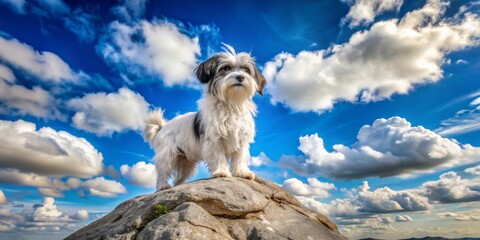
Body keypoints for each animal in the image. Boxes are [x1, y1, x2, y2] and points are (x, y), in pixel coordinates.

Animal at [144, 44, 268, 191]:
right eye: (226, 68)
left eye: (246, 70)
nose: (240, 77)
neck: (231, 103)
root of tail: (161, 128)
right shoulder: (214, 140)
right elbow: (218, 157)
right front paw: (221, 172)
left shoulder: (242, 139)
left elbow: (240, 158)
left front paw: (242, 172)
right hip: (167, 155)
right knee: (163, 171)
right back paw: (163, 186)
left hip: (186, 163)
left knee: (178, 179)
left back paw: (178, 187)